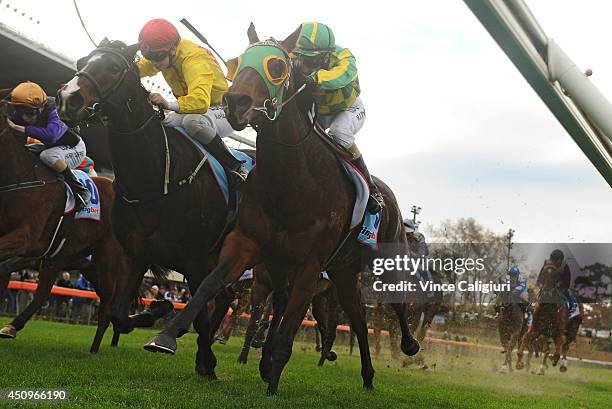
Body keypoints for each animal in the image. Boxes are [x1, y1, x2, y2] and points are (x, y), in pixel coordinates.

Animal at [0, 104, 127, 350]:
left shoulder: (25, 238)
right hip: (72, 259)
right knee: (44, 294)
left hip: (107, 260)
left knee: (106, 305)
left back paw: (94, 349)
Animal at [55, 39, 251, 378]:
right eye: (82, 61)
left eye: (114, 67)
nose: (68, 98)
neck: (156, 178)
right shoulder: (137, 255)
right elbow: (118, 313)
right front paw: (159, 308)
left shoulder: (195, 259)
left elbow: (198, 312)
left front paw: (195, 354)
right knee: (224, 296)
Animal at [144, 23, 420, 394]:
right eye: (239, 61)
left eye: (276, 65)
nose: (235, 102)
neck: (293, 182)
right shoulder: (248, 244)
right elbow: (209, 285)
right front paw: (167, 335)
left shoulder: (309, 266)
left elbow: (287, 330)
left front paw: (272, 380)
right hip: (342, 272)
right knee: (359, 319)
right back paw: (367, 375)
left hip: (383, 259)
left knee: (397, 302)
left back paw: (409, 345)